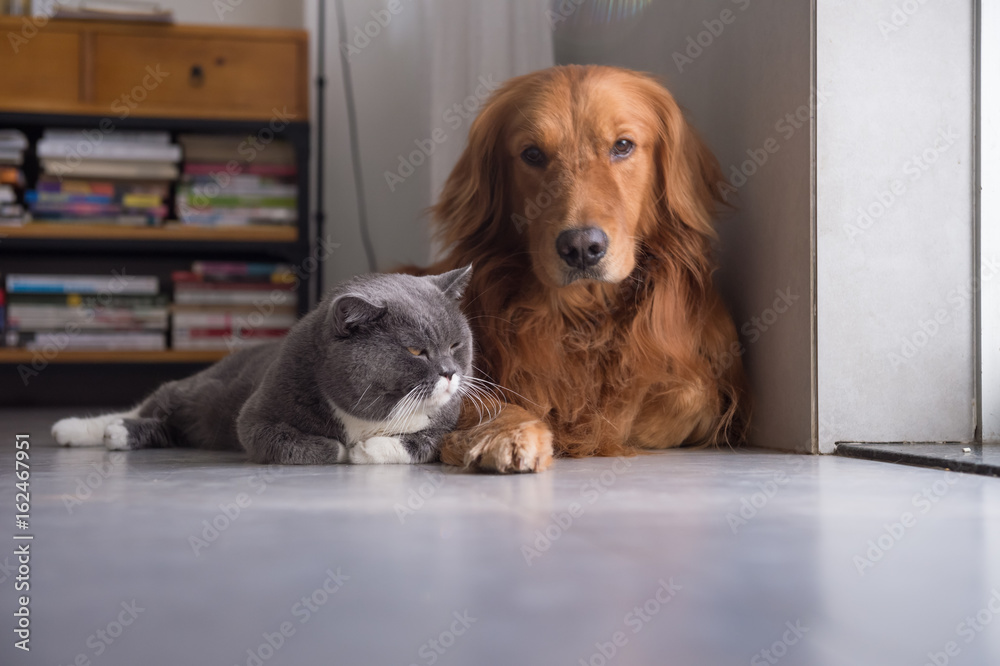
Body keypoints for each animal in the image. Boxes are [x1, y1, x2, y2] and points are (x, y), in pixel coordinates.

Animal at [51, 264, 476, 462]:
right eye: (417, 351)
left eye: (455, 344)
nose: (450, 372)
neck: (366, 419)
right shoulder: (257, 417)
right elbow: (313, 445)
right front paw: (345, 449)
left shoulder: (449, 425)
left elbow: (421, 443)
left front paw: (367, 450)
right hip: (197, 393)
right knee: (149, 406)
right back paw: (78, 429)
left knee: (165, 427)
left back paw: (115, 434)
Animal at [426, 65, 748, 470]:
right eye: (532, 154)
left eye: (622, 146)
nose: (581, 247)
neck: (584, 315)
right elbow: (475, 399)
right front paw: (509, 432)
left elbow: (679, 400)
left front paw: (592, 426)